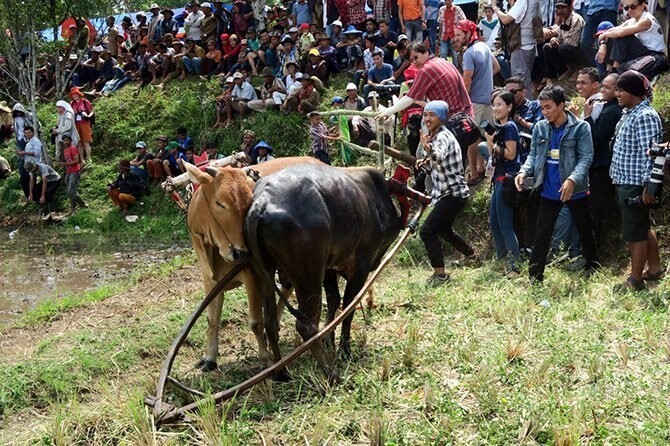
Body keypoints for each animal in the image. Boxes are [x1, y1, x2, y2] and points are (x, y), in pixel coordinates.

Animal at [182, 157, 322, 372]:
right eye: (219, 203)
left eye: (248, 204)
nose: (241, 252)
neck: (213, 247)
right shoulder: (210, 279)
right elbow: (212, 318)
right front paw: (209, 358)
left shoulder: (251, 275)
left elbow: (255, 321)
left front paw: (265, 358)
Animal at [247, 165, 404, 380]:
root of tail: (262, 203)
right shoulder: (359, 268)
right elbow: (348, 308)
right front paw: (344, 351)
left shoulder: (330, 268)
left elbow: (334, 301)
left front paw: (330, 342)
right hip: (309, 275)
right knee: (305, 326)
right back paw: (332, 374)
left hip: (264, 272)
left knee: (270, 322)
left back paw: (282, 373)